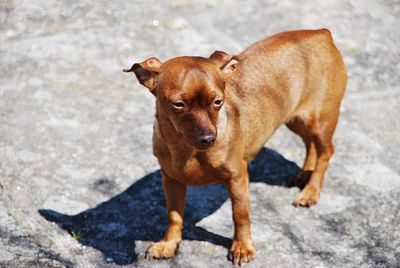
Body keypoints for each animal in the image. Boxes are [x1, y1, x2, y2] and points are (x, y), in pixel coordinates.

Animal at [124, 28, 346, 264]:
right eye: (178, 105)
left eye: (218, 102)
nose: (209, 138)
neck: (186, 149)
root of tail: (321, 33)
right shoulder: (171, 180)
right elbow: (174, 215)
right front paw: (169, 244)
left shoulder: (237, 178)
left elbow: (240, 215)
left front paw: (242, 246)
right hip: (295, 119)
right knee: (309, 143)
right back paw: (305, 173)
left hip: (320, 121)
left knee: (326, 150)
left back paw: (311, 190)